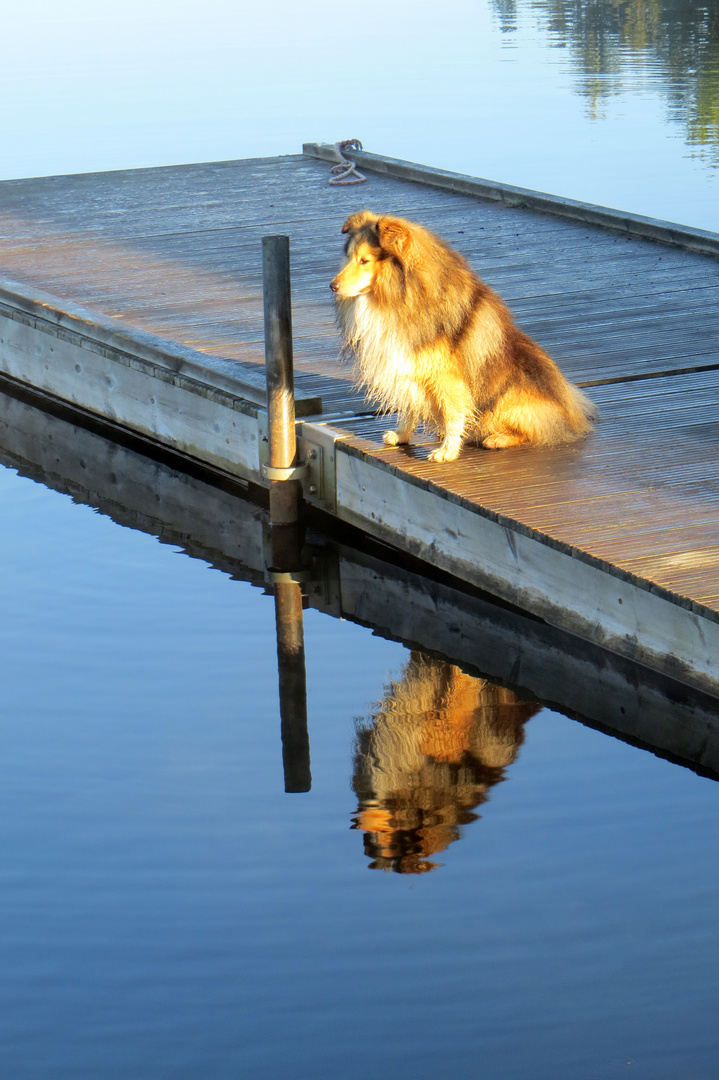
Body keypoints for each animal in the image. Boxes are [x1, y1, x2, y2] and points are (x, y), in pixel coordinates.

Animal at [328, 212, 591, 462]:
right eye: (349, 257)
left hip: (508, 399)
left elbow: (452, 412)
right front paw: (402, 435)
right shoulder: (409, 366)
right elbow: (410, 405)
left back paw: (498, 438)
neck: (397, 295)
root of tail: (568, 409)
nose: (333, 286)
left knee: (534, 430)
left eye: (364, 261)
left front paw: (447, 451)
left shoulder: (445, 376)